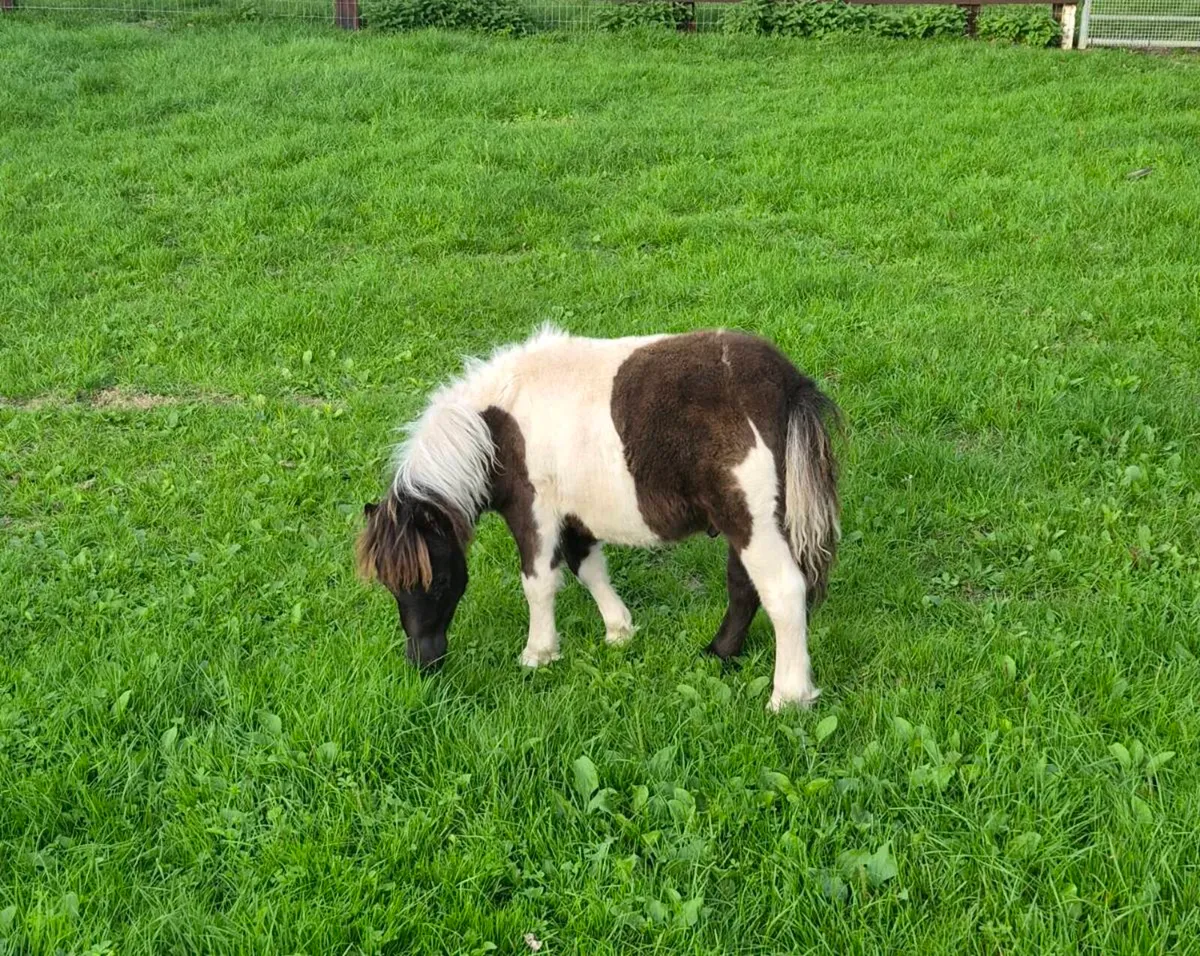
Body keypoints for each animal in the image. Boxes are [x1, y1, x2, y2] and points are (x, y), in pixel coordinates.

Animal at [357, 325, 840, 710]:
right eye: (390, 586)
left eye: (438, 581)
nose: (423, 663)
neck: (496, 428)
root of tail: (788, 383)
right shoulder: (574, 518)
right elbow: (588, 569)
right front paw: (619, 632)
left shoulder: (534, 512)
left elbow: (538, 582)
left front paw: (538, 655)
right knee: (744, 586)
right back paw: (719, 653)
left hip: (752, 520)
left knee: (782, 592)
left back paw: (788, 697)